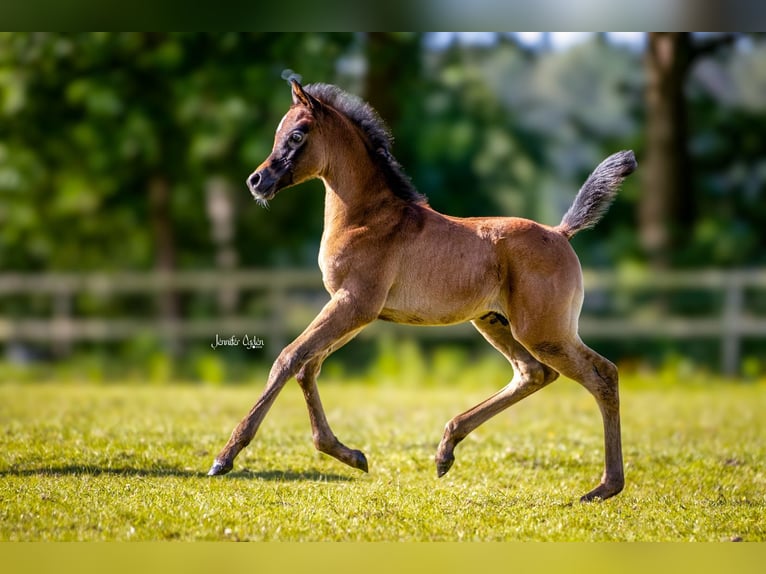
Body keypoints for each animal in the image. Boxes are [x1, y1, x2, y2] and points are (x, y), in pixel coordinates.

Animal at [207, 79, 640, 502]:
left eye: (296, 135)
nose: (256, 181)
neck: (366, 217)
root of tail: (560, 232)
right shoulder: (355, 310)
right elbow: (308, 366)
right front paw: (350, 455)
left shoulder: (354, 304)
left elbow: (288, 358)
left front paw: (225, 458)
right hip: (494, 322)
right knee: (533, 373)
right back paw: (446, 449)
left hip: (544, 331)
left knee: (603, 374)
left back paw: (605, 487)